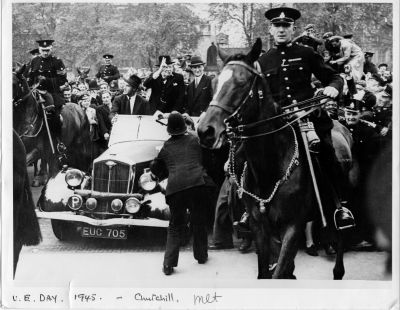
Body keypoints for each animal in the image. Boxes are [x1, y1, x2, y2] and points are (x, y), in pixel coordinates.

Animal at [197, 38, 354, 278]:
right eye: (214, 84)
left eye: (242, 82)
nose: (205, 130)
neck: (270, 167)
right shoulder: (260, 226)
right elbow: (267, 269)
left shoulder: (293, 226)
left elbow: (279, 271)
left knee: (340, 236)